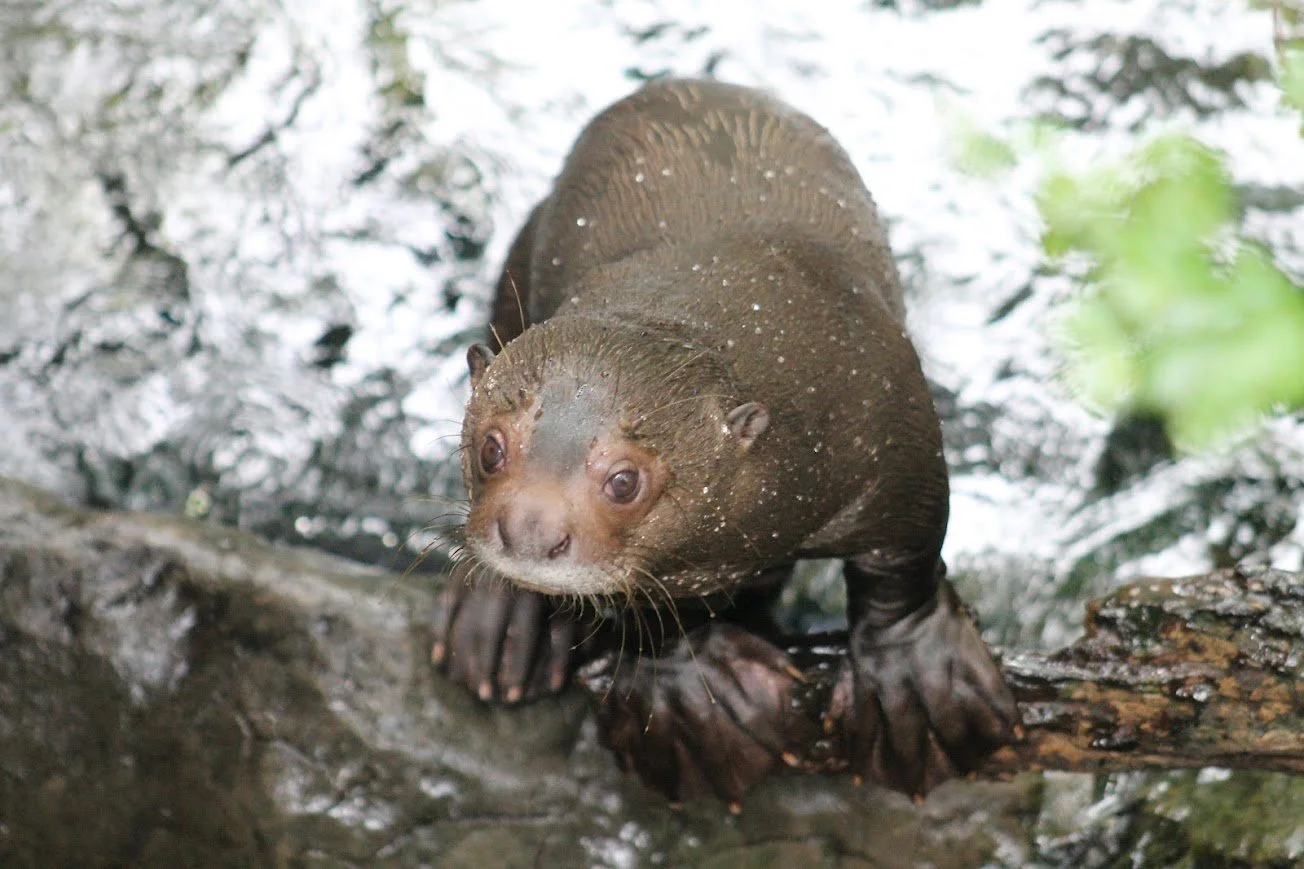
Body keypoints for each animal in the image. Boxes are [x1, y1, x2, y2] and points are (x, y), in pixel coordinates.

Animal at [433, 79, 1017, 805]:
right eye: (491, 449)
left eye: (624, 480)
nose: (530, 529)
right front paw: (693, 702)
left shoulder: (892, 418)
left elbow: (904, 555)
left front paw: (911, 683)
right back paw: (506, 626)